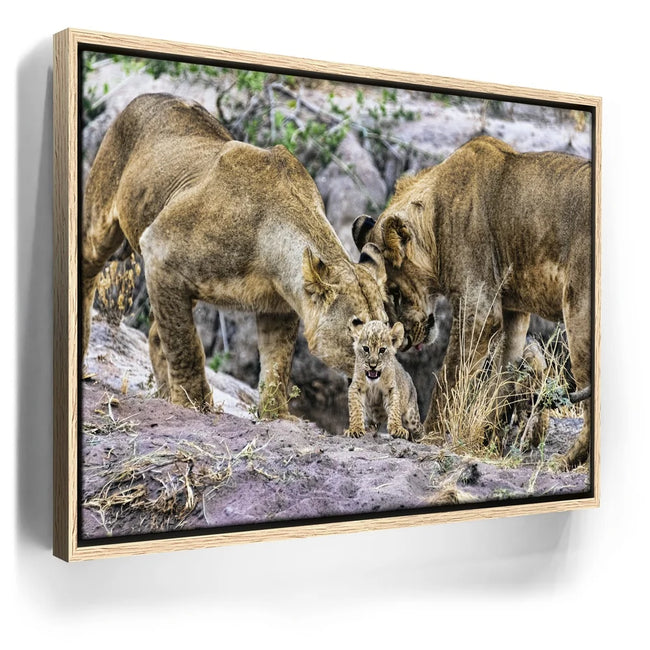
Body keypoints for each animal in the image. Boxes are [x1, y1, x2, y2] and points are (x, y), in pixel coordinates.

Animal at [82, 93, 388, 415]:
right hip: (102, 222)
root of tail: (148, 96)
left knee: (156, 333)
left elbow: (277, 365)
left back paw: (165, 394)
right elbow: (186, 345)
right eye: (357, 327)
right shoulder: (158, 249)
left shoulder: (279, 307)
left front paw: (277, 415)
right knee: (88, 270)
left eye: (388, 331)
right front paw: (195, 404)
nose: (379, 367)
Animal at [352, 136, 592, 468]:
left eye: (394, 291)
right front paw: (487, 442)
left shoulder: (479, 309)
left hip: (578, 315)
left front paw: (432, 434)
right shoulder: (513, 311)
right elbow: (502, 380)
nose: (404, 341)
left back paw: (566, 461)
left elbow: (450, 374)